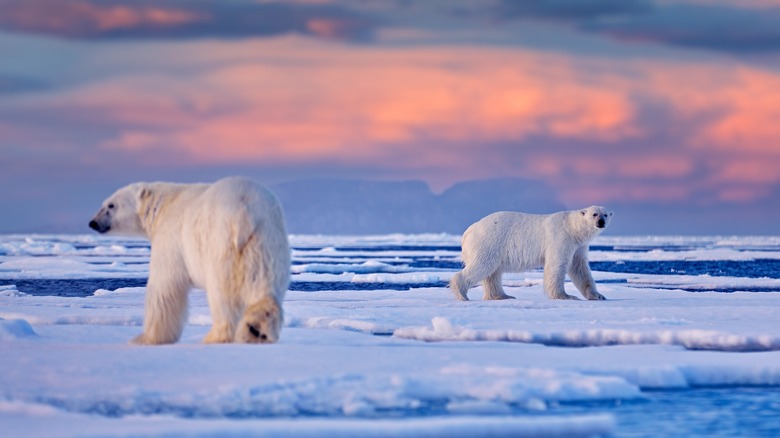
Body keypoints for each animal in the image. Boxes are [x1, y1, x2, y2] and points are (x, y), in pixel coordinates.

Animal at [89, 176, 290, 344]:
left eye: (111, 205)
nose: (93, 222)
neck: (162, 206)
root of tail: (245, 211)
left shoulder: (171, 238)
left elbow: (164, 287)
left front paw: (146, 338)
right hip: (266, 241)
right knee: (263, 283)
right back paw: (256, 330)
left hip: (220, 243)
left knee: (222, 294)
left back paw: (215, 336)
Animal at [450, 205, 616, 302]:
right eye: (594, 214)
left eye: (606, 214)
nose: (601, 222)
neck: (572, 228)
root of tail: (469, 231)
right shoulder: (561, 238)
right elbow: (557, 265)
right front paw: (565, 296)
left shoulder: (578, 246)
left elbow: (580, 269)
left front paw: (598, 295)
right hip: (489, 241)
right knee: (483, 265)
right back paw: (462, 294)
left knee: (493, 273)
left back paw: (502, 296)